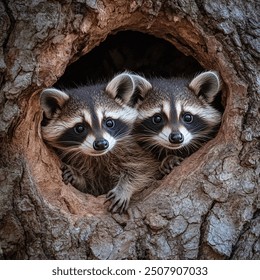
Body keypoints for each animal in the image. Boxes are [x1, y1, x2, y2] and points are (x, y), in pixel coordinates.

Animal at [39, 72, 155, 212]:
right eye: (80, 128)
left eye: (109, 122)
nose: (101, 144)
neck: (99, 156)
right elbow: (92, 186)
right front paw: (78, 176)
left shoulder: (134, 147)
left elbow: (144, 168)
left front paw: (125, 187)